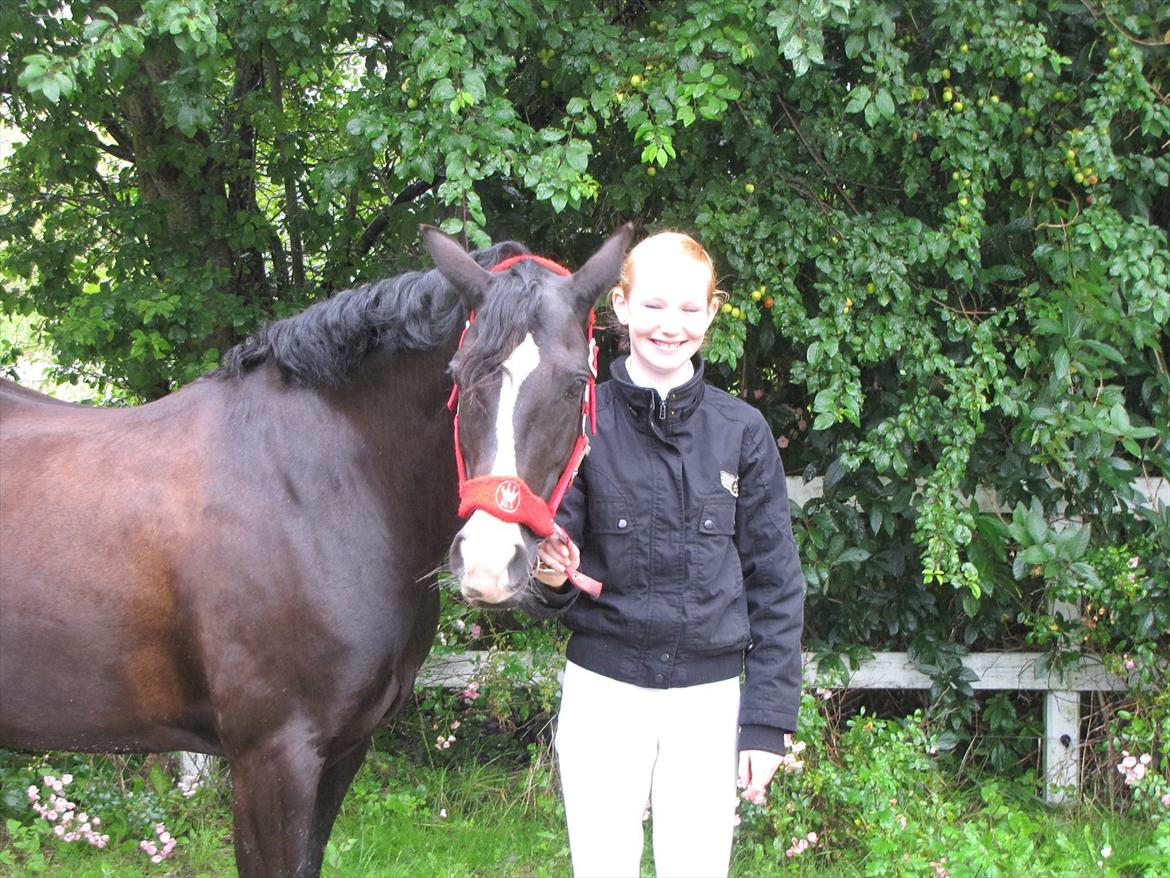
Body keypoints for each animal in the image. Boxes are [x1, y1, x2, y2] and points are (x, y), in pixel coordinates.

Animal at [0, 223, 634, 877]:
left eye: (576, 384)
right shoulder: (273, 759)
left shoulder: (343, 749)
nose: (489, 562)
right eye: (459, 375)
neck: (315, 488)